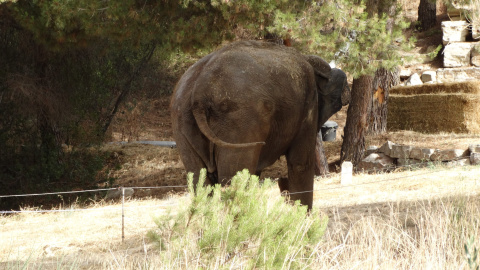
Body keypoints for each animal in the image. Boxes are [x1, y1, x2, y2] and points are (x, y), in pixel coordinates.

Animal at [171, 40, 350, 210]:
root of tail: (199, 94)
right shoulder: (308, 106)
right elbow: (300, 164)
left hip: (182, 123)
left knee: (199, 180)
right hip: (239, 123)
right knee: (235, 179)